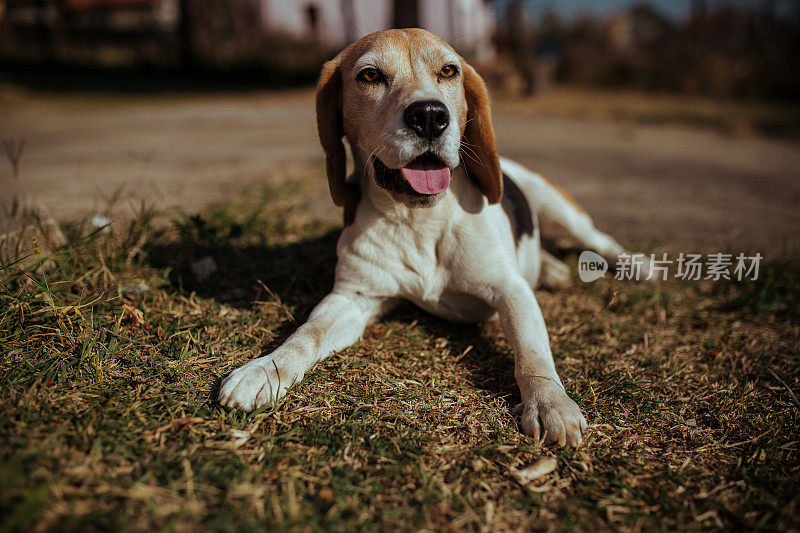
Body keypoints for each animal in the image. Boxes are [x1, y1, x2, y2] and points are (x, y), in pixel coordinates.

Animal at [219, 28, 632, 444]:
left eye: (449, 70)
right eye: (370, 76)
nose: (430, 116)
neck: (419, 219)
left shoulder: (510, 290)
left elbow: (532, 351)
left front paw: (549, 402)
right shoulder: (354, 297)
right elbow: (308, 333)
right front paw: (265, 369)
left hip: (558, 208)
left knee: (599, 239)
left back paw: (633, 266)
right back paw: (552, 270)